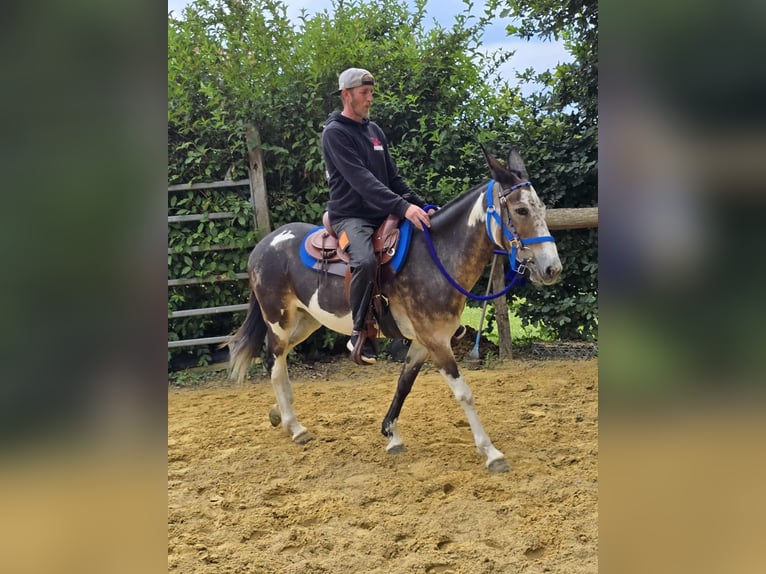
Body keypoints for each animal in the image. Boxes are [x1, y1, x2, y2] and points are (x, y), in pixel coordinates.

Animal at [227, 148, 562, 472]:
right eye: (521, 210)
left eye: (542, 208)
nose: (552, 268)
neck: (435, 258)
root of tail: (264, 244)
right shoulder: (437, 342)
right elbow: (464, 393)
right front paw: (491, 453)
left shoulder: (424, 342)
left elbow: (404, 384)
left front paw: (391, 434)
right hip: (278, 318)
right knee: (274, 360)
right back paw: (295, 427)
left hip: (306, 321)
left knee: (277, 359)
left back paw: (280, 415)